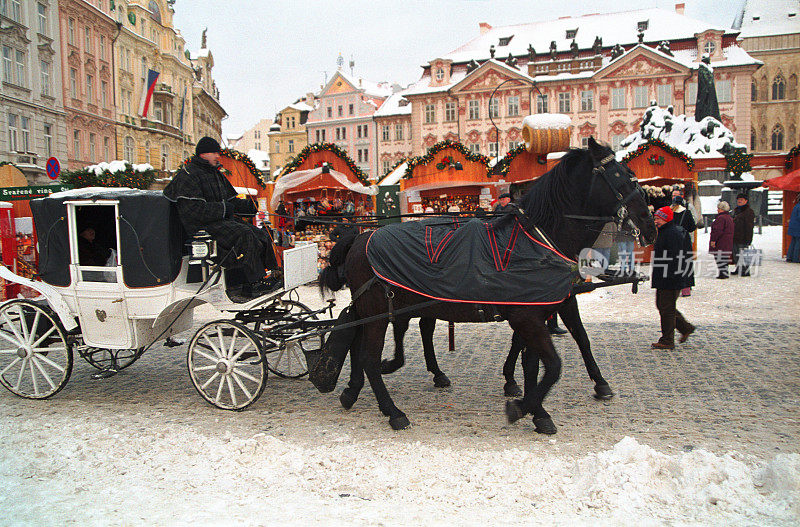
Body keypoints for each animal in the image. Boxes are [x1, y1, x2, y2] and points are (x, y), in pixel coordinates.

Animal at [320, 138, 656, 436]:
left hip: (386, 308)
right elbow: (553, 365)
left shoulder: (538, 312)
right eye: (620, 175)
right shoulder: (528, 317)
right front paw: (522, 407)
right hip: (379, 311)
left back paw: (354, 391)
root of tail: (360, 237)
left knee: (367, 345)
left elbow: (540, 362)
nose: (649, 225)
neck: (538, 240)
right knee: (369, 358)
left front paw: (537, 410)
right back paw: (393, 410)